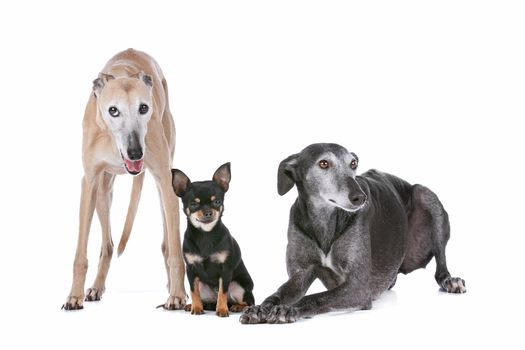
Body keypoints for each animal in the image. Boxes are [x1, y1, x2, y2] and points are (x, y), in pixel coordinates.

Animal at [172, 163, 254, 316]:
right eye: (193, 204)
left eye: (217, 201)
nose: (208, 212)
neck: (205, 234)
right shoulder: (191, 270)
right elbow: (193, 291)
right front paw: (196, 308)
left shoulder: (225, 271)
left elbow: (222, 292)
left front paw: (221, 309)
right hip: (202, 285)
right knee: (204, 297)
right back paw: (197, 305)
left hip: (238, 286)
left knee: (249, 302)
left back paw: (236, 307)